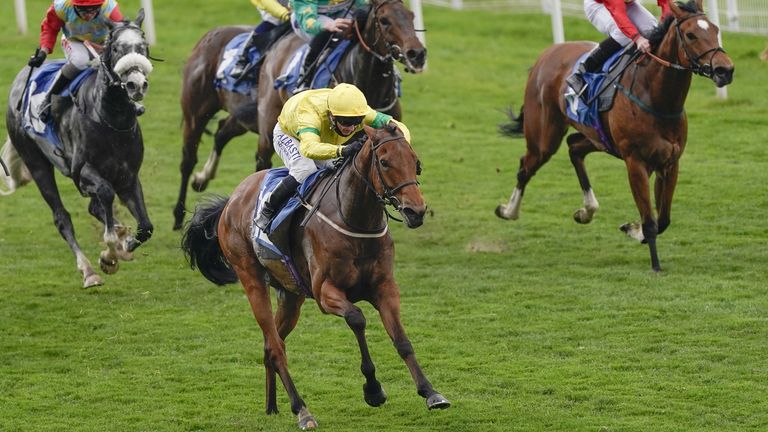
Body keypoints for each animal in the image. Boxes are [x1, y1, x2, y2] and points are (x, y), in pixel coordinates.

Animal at [4, 9, 154, 286]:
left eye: (143, 46)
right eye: (116, 48)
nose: (136, 85)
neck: (111, 119)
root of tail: (21, 78)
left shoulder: (128, 176)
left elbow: (146, 227)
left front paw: (123, 244)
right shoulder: (82, 172)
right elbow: (105, 193)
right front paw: (109, 253)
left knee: (94, 208)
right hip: (36, 163)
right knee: (62, 217)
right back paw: (88, 271)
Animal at [174, 0, 426, 230]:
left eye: (411, 16)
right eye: (384, 20)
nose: (417, 54)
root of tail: (209, 35)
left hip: (242, 118)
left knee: (221, 133)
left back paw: (202, 178)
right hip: (205, 114)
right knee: (194, 159)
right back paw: (180, 213)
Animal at [181, 125, 450, 428]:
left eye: (415, 162)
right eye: (384, 162)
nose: (416, 211)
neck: (354, 218)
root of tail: (230, 201)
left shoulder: (385, 287)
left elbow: (402, 340)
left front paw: (430, 392)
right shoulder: (325, 292)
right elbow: (357, 319)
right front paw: (373, 389)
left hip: (291, 296)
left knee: (271, 345)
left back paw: (272, 406)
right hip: (251, 279)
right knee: (276, 348)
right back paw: (302, 410)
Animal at [496, 0, 736, 270]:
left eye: (716, 30)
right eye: (691, 35)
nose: (725, 70)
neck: (657, 96)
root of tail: (546, 55)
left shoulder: (669, 162)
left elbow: (662, 218)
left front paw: (633, 229)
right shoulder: (635, 162)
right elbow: (651, 220)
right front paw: (655, 265)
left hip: (598, 137)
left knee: (574, 147)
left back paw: (586, 210)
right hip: (544, 137)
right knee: (526, 166)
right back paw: (508, 211)